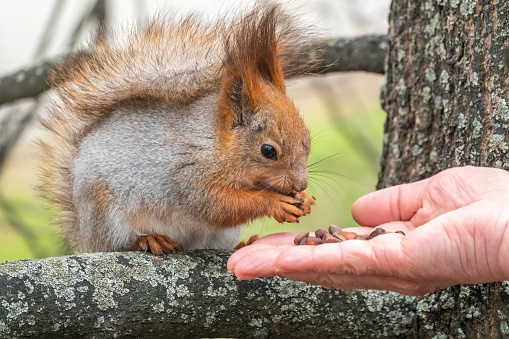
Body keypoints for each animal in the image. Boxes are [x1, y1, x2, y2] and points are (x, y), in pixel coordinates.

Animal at [39, 3, 316, 255]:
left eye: (308, 141)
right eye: (268, 150)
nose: (301, 184)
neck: (214, 143)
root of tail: (86, 239)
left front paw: (304, 200)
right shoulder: (187, 176)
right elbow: (217, 206)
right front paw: (274, 202)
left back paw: (243, 245)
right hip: (106, 214)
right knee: (120, 245)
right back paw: (149, 240)